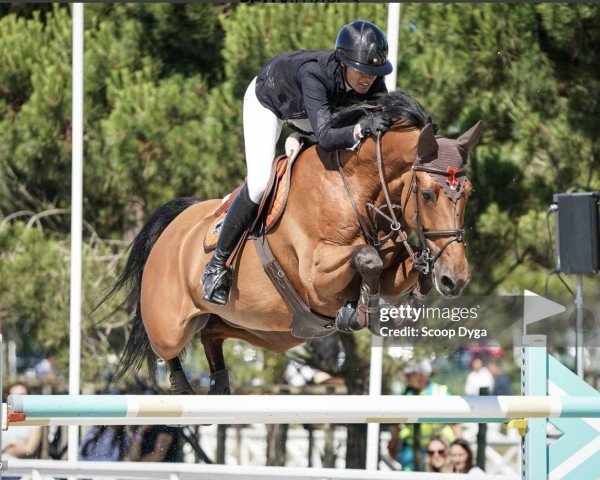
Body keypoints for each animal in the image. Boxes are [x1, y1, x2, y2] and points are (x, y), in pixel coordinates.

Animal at [105, 90, 482, 394]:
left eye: (468, 194)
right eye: (428, 194)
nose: (457, 278)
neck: (354, 189)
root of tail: (175, 225)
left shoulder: (388, 267)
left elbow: (394, 268)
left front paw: (414, 291)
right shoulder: (315, 275)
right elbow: (366, 257)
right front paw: (359, 310)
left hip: (267, 331)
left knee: (212, 334)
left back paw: (219, 386)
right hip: (170, 324)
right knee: (167, 350)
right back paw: (183, 386)